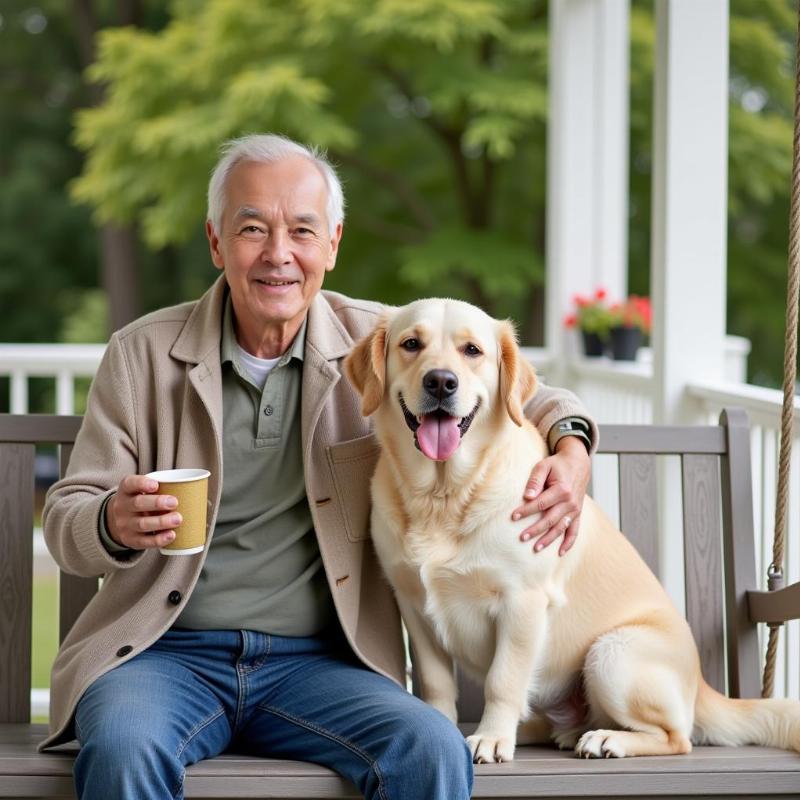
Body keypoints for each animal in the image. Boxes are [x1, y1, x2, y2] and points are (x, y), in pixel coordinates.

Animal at [344, 298, 800, 764]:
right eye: (411, 344)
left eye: (472, 350)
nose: (440, 381)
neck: (444, 495)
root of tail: (703, 687)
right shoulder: (413, 603)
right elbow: (437, 683)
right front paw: (445, 724)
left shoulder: (522, 601)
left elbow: (502, 680)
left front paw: (491, 738)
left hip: (612, 654)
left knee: (678, 737)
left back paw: (606, 739)